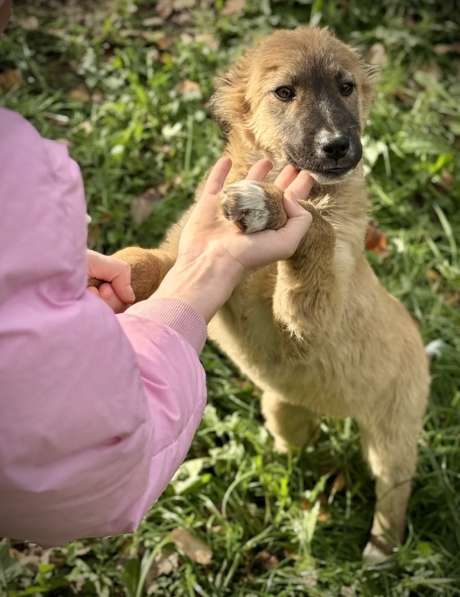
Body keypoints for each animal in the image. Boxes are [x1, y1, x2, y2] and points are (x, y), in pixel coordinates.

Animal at [98, 25, 432, 560]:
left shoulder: (315, 312)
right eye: (285, 92)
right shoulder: (188, 251)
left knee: (393, 490)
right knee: (302, 442)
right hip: (281, 407)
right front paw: (103, 276)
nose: (337, 146)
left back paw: (381, 549)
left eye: (346, 87)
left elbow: (315, 227)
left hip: (395, 431)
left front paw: (266, 206)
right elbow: (145, 261)